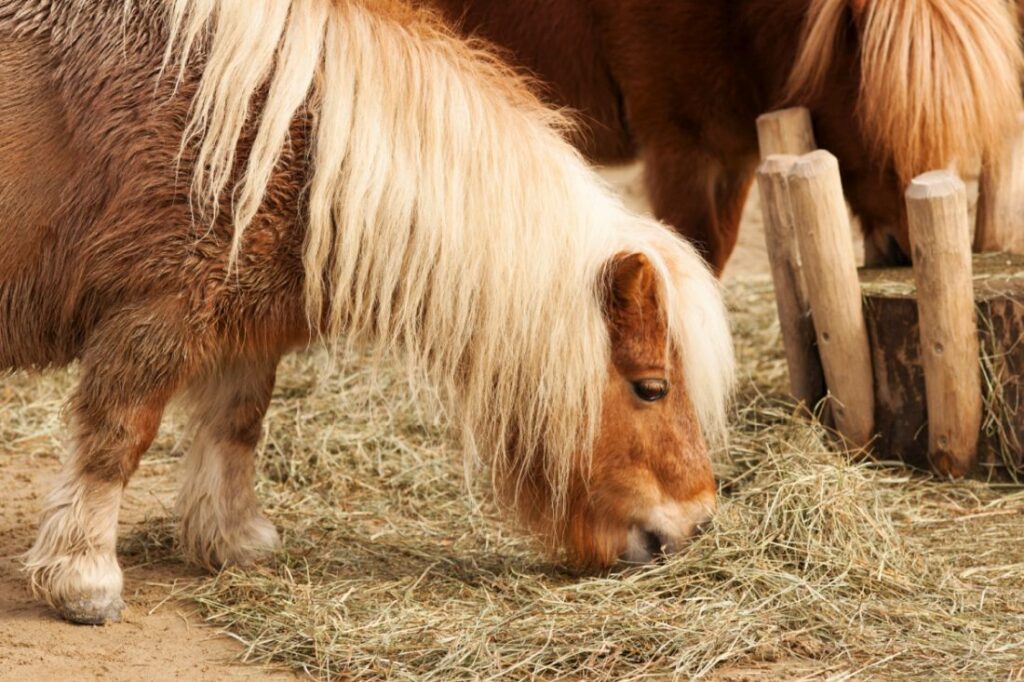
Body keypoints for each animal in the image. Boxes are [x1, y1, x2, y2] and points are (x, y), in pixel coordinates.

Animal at [0, 0, 737, 622]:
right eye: (651, 388)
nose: (695, 522)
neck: (272, 132)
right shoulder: (153, 317)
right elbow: (115, 442)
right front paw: (84, 580)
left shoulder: (241, 329)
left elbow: (237, 426)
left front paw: (232, 541)